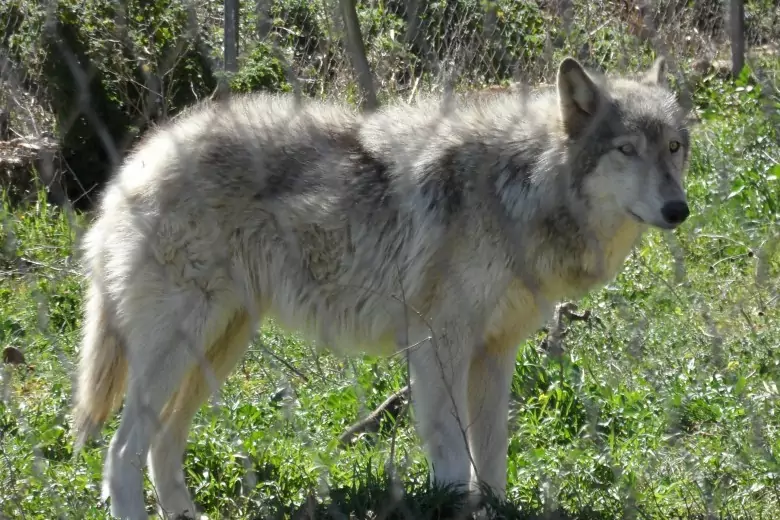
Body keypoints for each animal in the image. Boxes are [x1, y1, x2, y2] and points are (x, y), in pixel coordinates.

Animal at [71, 54, 696, 516]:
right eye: (626, 150)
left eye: (673, 146)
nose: (678, 210)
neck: (522, 189)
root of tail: (136, 163)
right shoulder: (441, 345)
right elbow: (453, 454)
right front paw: (456, 506)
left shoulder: (496, 352)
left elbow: (493, 456)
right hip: (180, 348)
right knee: (121, 453)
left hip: (220, 348)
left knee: (161, 445)